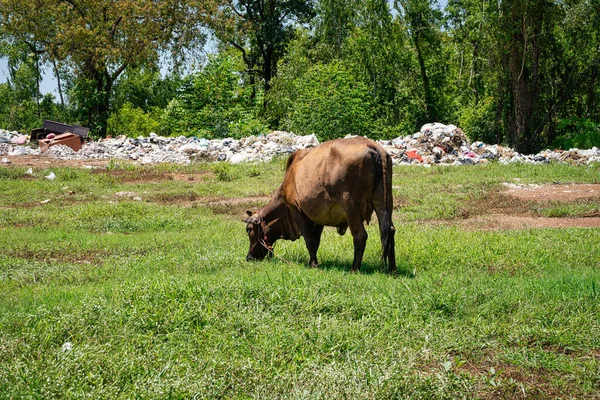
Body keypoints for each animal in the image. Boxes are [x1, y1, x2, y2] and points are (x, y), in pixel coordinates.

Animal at [241, 137, 396, 272]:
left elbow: (309, 240)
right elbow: (316, 242)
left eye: (249, 229)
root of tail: (373, 146)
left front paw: (313, 264)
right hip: (385, 201)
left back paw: (354, 269)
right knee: (389, 230)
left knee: (360, 235)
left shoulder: (297, 210)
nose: (249, 257)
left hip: (350, 205)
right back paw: (392, 269)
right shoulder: (318, 218)